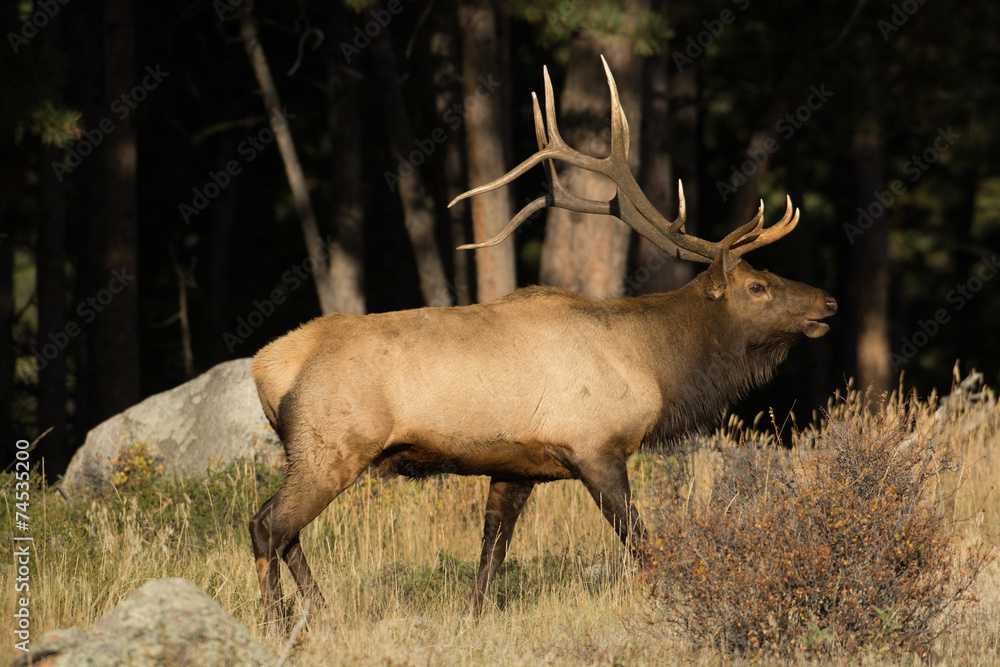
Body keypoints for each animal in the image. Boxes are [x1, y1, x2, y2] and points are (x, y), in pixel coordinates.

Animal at [248, 57, 837, 630]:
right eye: (758, 286)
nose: (828, 302)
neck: (655, 366)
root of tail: (264, 367)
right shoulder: (596, 447)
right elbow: (640, 541)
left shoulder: (516, 466)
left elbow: (492, 551)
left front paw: (474, 620)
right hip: (331, 447)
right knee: (266, 525)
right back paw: (277, 622)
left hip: (310, 453)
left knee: (287, 533)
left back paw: (320, 612)